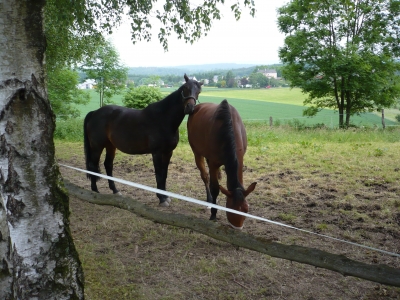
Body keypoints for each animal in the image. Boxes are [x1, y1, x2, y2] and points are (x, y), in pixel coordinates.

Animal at [84, 74, 203, 206]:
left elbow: (164, 174)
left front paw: (166, 197)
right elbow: (159, 174)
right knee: (93, 166)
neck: (164, 119)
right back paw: (95, 191)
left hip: (110, 146)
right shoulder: (156, 153)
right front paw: (161, 199)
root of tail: (95, 113)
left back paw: (115, 190)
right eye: (185, 88)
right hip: (97, 146)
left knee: (108, 165)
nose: (190, 107)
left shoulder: (168, 152)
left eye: (199, 91)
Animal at [187, 99, 256, 229]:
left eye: (246, 210)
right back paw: (209, 201)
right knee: (205, 176)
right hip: (197, 152)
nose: (237, 228)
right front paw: (213, 214)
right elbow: (215, 188)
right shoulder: (213, 163)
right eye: (230, 210)